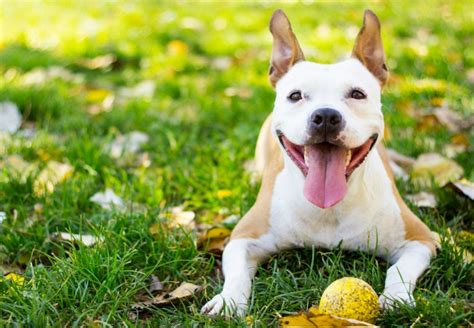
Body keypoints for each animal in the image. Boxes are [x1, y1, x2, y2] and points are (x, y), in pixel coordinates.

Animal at [200, 9, 436, 318]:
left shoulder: (420, 239)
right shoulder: (242, 237)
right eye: (295, 95)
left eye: (357, 94)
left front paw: (396, 298)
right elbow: (237, 273)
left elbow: (399, 269)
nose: (325, 116)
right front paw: (227, 301)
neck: (329, 209)